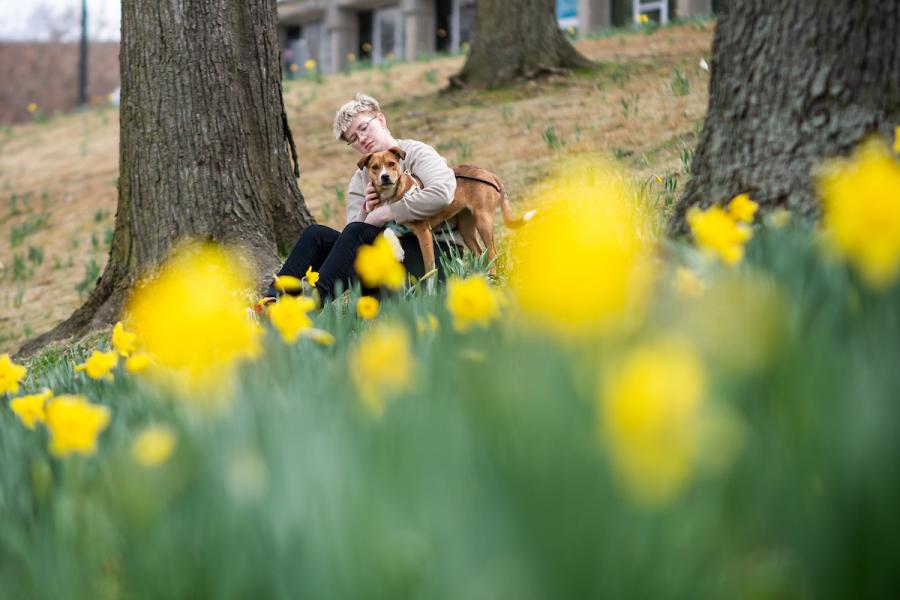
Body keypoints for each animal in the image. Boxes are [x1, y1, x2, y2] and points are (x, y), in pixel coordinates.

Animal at [358, 145, 532, 276]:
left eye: (391, 163)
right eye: (375, 167)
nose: (385, 177)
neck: (391, 197)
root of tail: (488, 173)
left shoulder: (423, 233)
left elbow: (429, 269)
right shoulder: (399, 227)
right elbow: (387, 231)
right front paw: (398, 251)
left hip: (483, 220)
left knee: (492, 253)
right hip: (466, 229)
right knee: (479, 251)